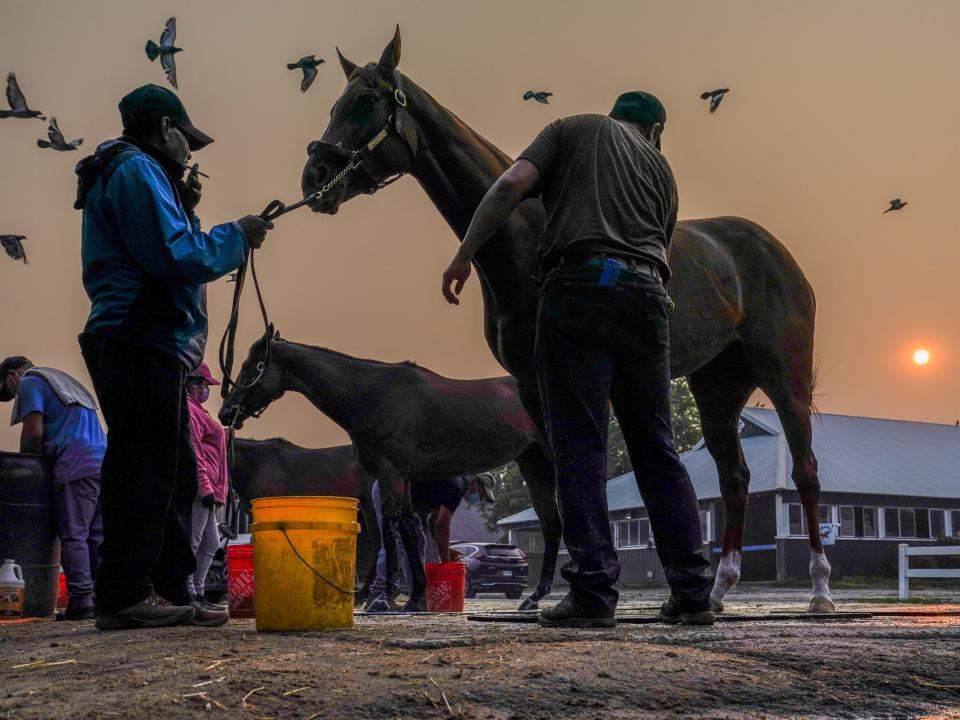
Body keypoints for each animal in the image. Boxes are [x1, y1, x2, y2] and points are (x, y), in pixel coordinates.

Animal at [300, 29, 832, 612]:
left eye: (367, 99)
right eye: (334, 102)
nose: (314, 177)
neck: (523, 235)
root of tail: (777, 252)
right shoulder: (532, 379)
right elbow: (560, 486)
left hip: (783, 373)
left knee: (805, 470)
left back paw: (819, 590)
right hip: (717, 385)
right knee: (734, 477)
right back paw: (717, 588)